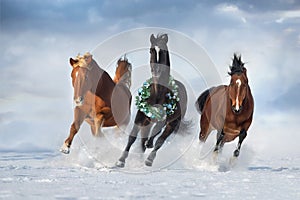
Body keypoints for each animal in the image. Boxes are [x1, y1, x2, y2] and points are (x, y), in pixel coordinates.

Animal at [116, 34, 189, 167]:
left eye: (163, 50)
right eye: (151, 50)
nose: (157, 71)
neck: (158, 93)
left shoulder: (163, 119)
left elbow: (157, 136)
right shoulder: (141, 117)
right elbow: (132, 137)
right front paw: (121, 160)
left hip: (172, 123)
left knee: (160, 139)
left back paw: (149, 159)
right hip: (148, 123)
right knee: (144, 140)